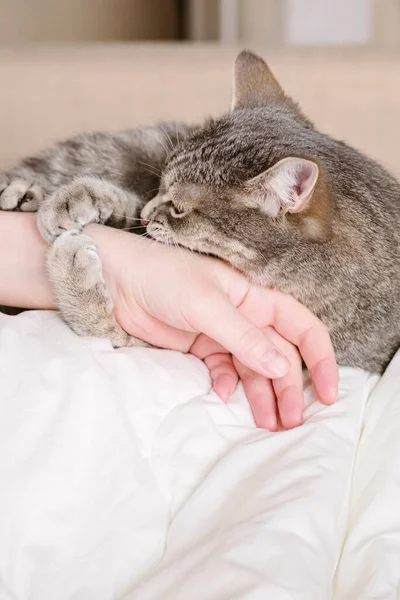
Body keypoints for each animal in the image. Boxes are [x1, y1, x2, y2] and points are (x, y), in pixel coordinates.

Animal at [0, 50, 400, 370]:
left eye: (179, 208)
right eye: (161, 181)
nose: (148, 211)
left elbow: (107, 328)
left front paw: (71, 268)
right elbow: (122, 203)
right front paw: (77, 198)